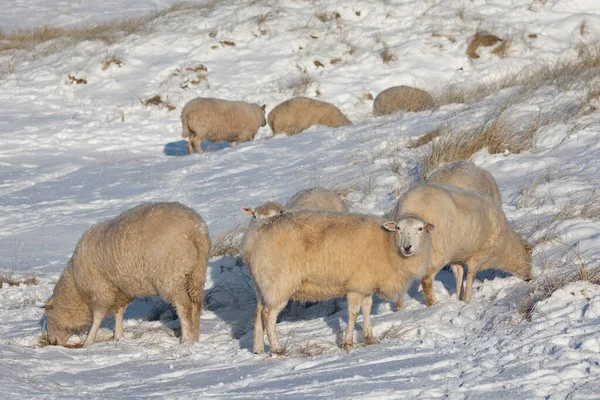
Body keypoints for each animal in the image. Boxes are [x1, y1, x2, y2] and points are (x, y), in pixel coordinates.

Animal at [43, 203, 211, 346]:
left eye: (49, 317)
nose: (52, 341)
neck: (76, 287)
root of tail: (196, 230)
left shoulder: (101, 291)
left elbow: (98, 316)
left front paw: (88, 342)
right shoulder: (121, 290)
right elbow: (119, 312)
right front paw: (118, 336)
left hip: (171, 275)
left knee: (184, 307)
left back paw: (186, 340)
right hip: (196, 273)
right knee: (196, 305)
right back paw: (195, 338)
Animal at [241, 209, 434, 354]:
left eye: (420, 229)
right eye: (399, 228)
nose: (407, 247)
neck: (387, 244)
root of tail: (253, 237)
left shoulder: (366, 285)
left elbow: (367, 309)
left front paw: (369, 337)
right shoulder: (356, 285)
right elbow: (353, 313)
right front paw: (348, 343)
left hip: (264, 284)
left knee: (258, 312)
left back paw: (258, 349)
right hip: (279, 284)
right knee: (268, 315)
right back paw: (277, 348)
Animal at [386, 183, 532, 308]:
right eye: (530, 255)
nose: (530, 279)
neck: (505, 246)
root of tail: (409, 207)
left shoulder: (457, 257)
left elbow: (459, 275)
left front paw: (458, 298)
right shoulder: (478, 255)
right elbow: (471, 276)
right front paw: (467, 299)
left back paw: (399, 308)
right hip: (437, 252)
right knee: (426, 280)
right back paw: (432, 304)